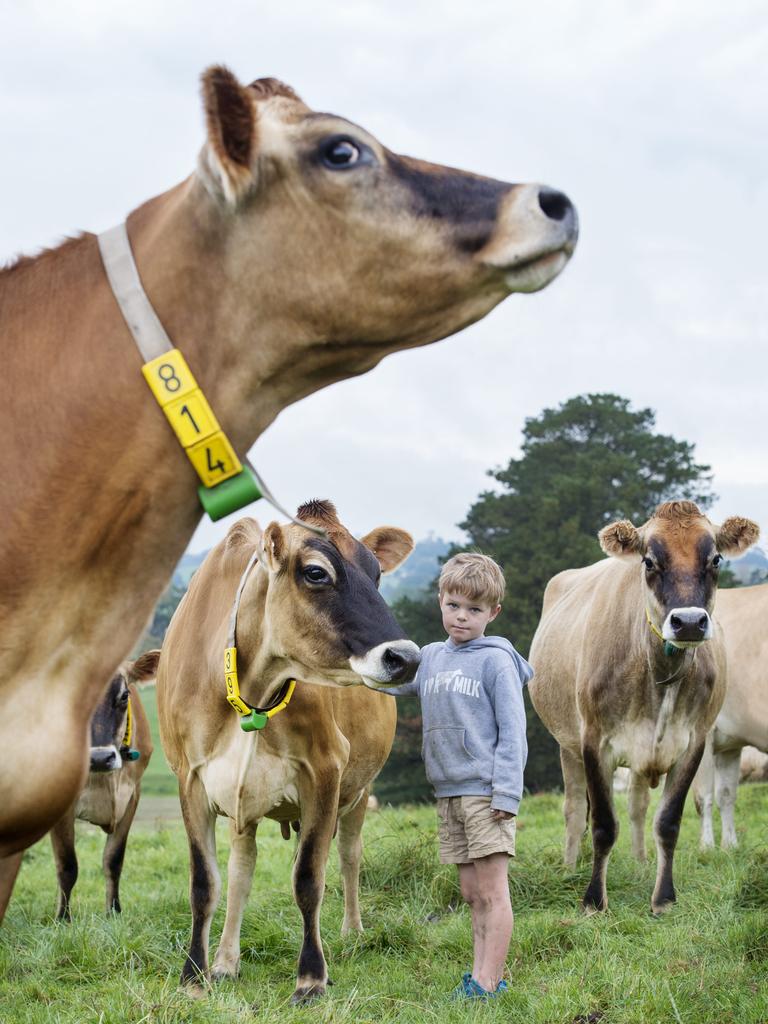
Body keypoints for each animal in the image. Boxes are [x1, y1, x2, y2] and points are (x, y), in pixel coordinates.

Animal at [49, 651, 159, 925]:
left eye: (124, 695)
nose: (99, 758)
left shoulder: (132, 796)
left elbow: (114, 859)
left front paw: (114, 911)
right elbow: (67, 865)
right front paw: (63, 918)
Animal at [157, 499, 415, 1003]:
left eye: (377, 573)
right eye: (316, 573)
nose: (406, 657)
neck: (249, 691)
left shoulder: (325, 771)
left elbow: (309, 879)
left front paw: (312, 977)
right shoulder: (189, 778)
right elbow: (205, 883)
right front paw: (195, 975)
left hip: (359, 790)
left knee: (349, 855)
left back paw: (352, 933)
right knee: (241, 868)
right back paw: (226, 961)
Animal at [528, 501, 757, 913]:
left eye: (715, 558)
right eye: (649, 561)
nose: (688, 622)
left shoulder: (694, 741)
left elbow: (667, 822)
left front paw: (663, 897)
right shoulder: (594, 740)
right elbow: (603, 823)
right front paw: (593, 900)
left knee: (636, 806)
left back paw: (638, 862)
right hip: (565, 742)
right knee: (574, 809)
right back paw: (569, 868)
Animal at [696, 585, 768, 847]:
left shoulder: (717, 740)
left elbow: (715, 795)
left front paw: (719, 846)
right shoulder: (716, 739)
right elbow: (714, 795)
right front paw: (717, 846)